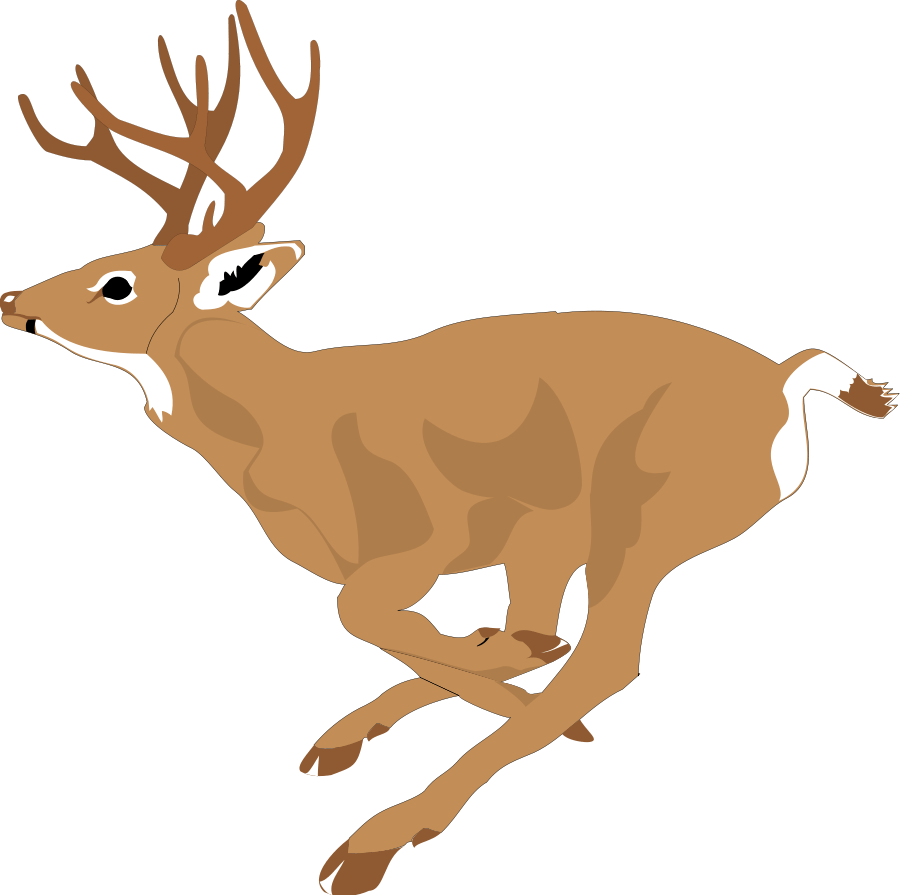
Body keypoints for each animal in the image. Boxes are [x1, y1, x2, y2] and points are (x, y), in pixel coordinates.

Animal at [2, 3, 895, 893]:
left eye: (118, 284)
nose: (13, 301)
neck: (282, 425)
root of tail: (780, 383)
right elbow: (440, 634)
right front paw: (451, 667)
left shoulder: (426, 533)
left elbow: (364, 613)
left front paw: (457, 675)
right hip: (559, 534)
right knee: (547, 637)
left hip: (642, 513)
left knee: (603, 659)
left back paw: (375, 839)